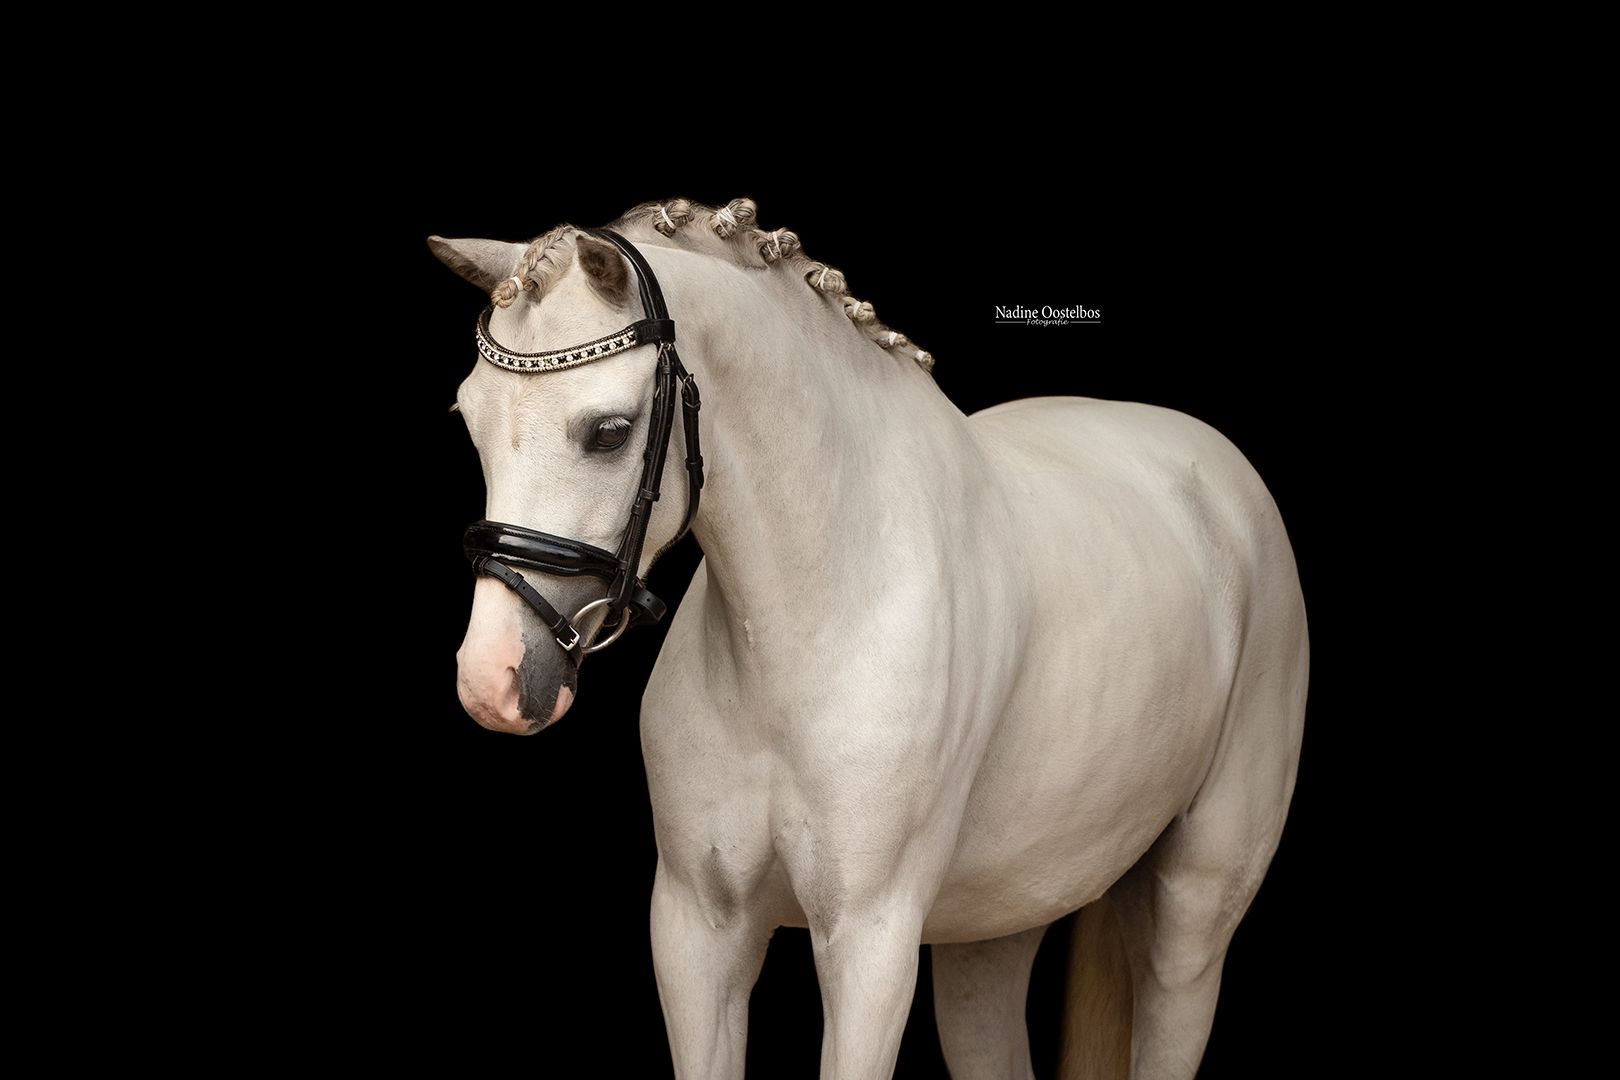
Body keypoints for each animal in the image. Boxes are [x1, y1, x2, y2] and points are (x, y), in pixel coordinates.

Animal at [431, 197, 1308, 1080]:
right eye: (469, 421)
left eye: (609, 431)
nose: (493, 679)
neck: (808, 635)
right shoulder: (695, 932)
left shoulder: (869, 945)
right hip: (996, 924)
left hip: (1195, 910)